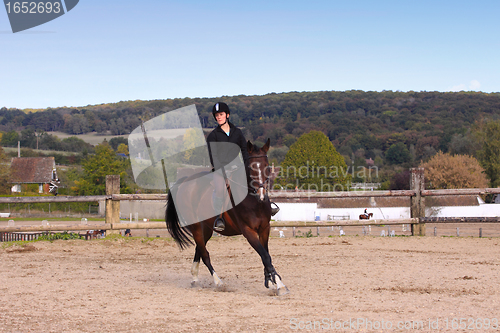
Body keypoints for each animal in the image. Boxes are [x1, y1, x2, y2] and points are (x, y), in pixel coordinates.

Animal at [165, 139, 290, 294]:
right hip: (196, 227)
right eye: (251, 168)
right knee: (205, 254)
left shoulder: (264, 228)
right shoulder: (248, 231)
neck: (255, 202)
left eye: (267, 167)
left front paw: (271, 282)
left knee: (199, 249)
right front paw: (279, 285)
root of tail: (184, 181)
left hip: (206, 229)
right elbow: (265, 256)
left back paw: (195, 279)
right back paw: (218, 282)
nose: (261, 195)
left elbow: (266, 255)